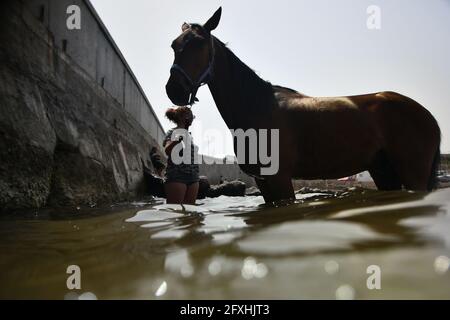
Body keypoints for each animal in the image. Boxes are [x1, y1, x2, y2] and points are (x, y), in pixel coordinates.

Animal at [165, 7, 440, 204]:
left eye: (199, 44)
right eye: (175, 45)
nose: (173, 90)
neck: (257, 106)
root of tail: (427, 115)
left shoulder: (280, 179)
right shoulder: (263, 182)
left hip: (413, 174)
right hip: (383, 172)